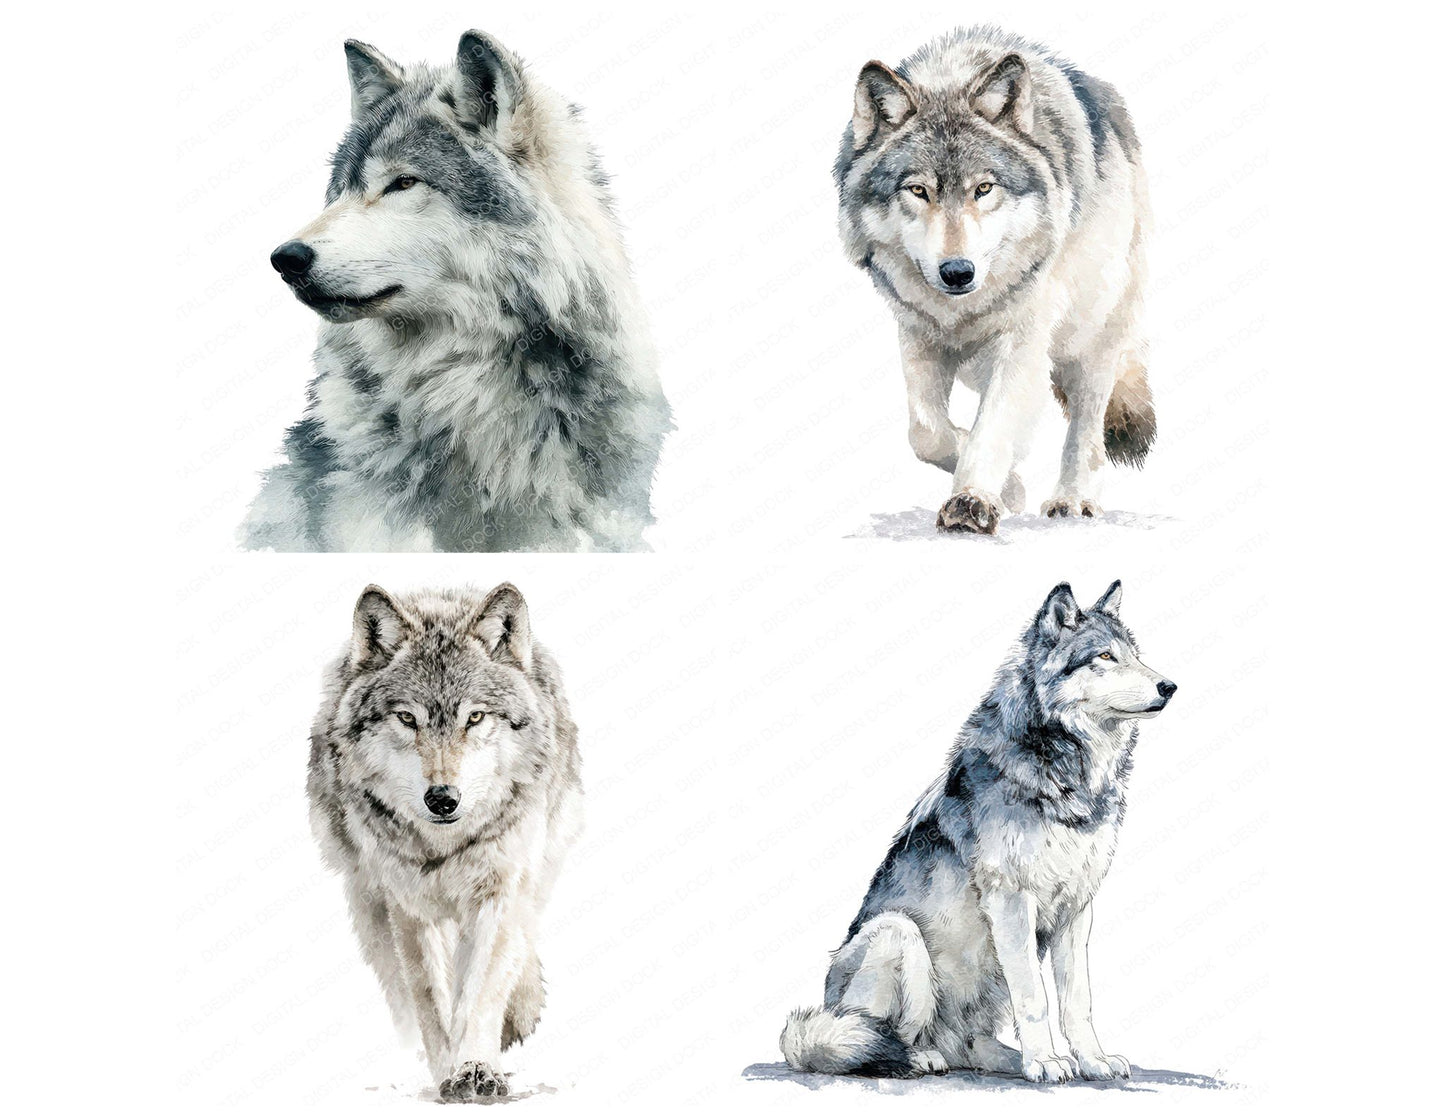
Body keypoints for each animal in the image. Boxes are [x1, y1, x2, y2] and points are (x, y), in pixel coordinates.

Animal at [307, 582, 583, 1100]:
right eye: (406, 718)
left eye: (474, 717)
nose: (442, 798)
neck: (444, 849)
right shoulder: (407, 907)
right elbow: (430, 1000)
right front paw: (444, 1072)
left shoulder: (500, 892)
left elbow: (481, 991)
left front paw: (476, 1067)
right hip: (368, 905)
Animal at [781, 581, 1176, 1082]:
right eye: (1105, 656)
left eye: (1136, 656)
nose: (1169, 686)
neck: (1065, 770)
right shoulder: (1012, 902)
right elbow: (1036, 999)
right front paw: (1045, 1062)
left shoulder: (1076, 908)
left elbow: (1076, 1001)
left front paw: (1091, 1060)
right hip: (898, 934)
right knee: (880, 1040)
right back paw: (923, 1058)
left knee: (969, 1046)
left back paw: (1005, 1058)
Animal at [835, 27, 1154, 534]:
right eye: (918, 190)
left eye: (984, 189)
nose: (957, 271)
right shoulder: (917, 333)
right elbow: (925, 432)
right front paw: (1009, 489)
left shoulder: (1023, 339)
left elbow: (995, 424)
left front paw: (973, 499)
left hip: (1096, 333)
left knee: (1086, 430)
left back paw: (1073, 499)